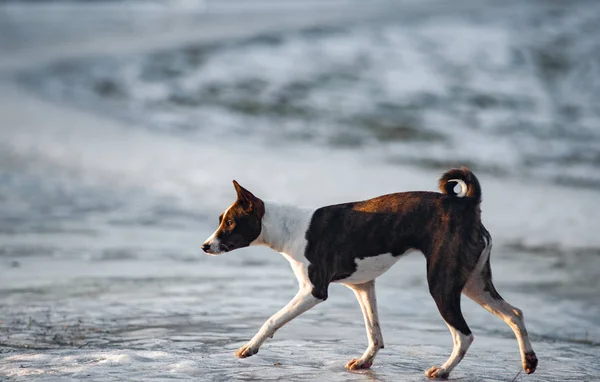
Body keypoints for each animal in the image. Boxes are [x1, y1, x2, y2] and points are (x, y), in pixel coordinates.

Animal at [203, 168, 540, 380]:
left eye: (230, 223)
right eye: (221, 220)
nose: (205, 246)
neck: (290, 228)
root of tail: (467, 203)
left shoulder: (313, 291)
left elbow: (272, 319)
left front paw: (250, 347)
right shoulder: (363, 286)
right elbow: (374, 332)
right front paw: (366, 362)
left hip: (442, 285)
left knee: (464, 335)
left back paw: (443, 371)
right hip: (474, 283)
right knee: (515, 313)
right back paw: (529, 361)